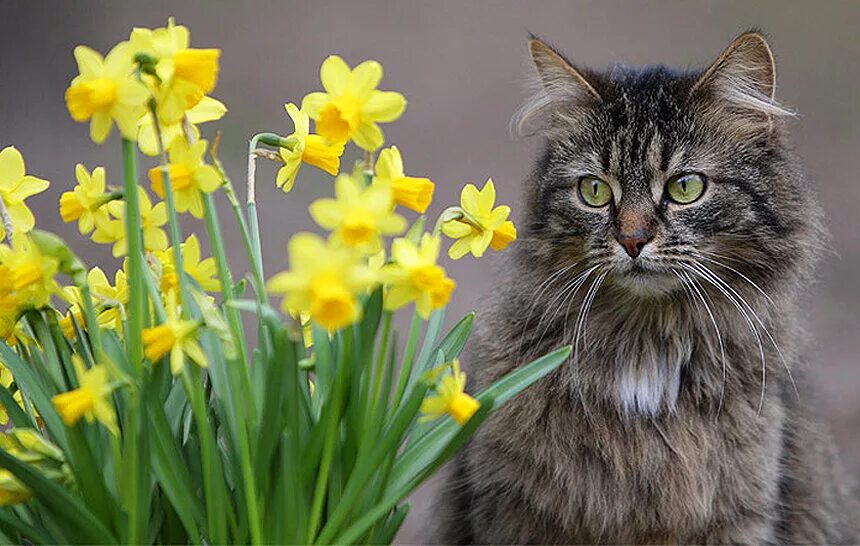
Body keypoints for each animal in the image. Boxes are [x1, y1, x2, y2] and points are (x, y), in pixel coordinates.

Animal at [440, 30, 856, 544]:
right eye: (594, 191)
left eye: (685, 187)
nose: (633, 240)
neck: (645, 345)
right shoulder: (515, 510)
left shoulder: (739, 513)